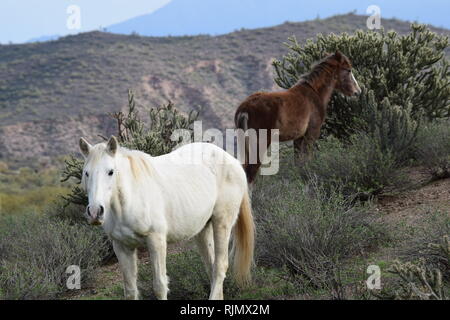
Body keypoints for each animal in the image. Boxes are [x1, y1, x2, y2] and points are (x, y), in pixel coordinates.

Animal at [77, 137, 253, 300]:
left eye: (111, 171)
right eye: (86, 173)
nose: (95, 212)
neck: (130, 198)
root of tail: (233, 161)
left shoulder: (156, 241)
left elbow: (159, 286)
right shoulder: (122, 246)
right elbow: (130, 290)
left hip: (222, 223)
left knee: (220, 267)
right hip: (203, 230)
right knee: (212, 267)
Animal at [236, 51, 362, 184]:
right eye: (348, 70)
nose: (357, 91)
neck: (314, 93)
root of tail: (245, 108)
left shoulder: (298, 138)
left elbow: (298, 162)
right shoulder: (311, 133)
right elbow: (307, 159)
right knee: (250, 172)